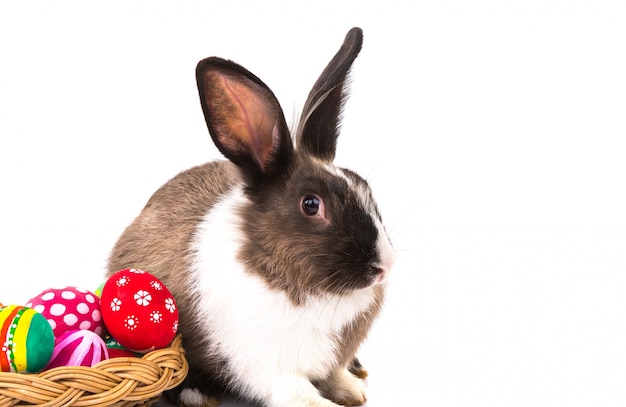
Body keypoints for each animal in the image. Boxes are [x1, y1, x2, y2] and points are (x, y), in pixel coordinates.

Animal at [105, 26, 392, 407]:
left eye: (364, 187)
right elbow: (299, 394)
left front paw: (352, 391)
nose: (384, 266)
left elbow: (333, 374)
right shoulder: (269, 368)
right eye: (311, 205)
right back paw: (196, 394)